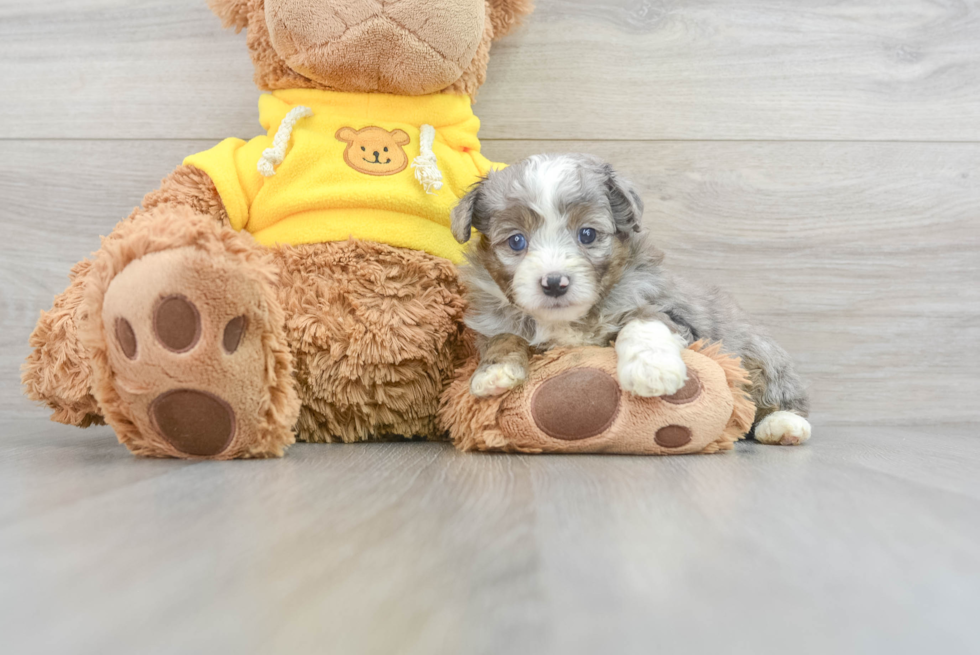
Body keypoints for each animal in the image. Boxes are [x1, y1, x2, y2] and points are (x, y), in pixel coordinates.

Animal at [450, 154, 812, 446]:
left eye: (587, 234)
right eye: (516, 241)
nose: (554, 283)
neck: (568, 320)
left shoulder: (672, 315)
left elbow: (641, 322)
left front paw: (652, 369)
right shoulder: (494, 321)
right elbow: (503, 336)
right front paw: (494, 372)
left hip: (759, 355)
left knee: (778, 392)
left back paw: (783, 424)